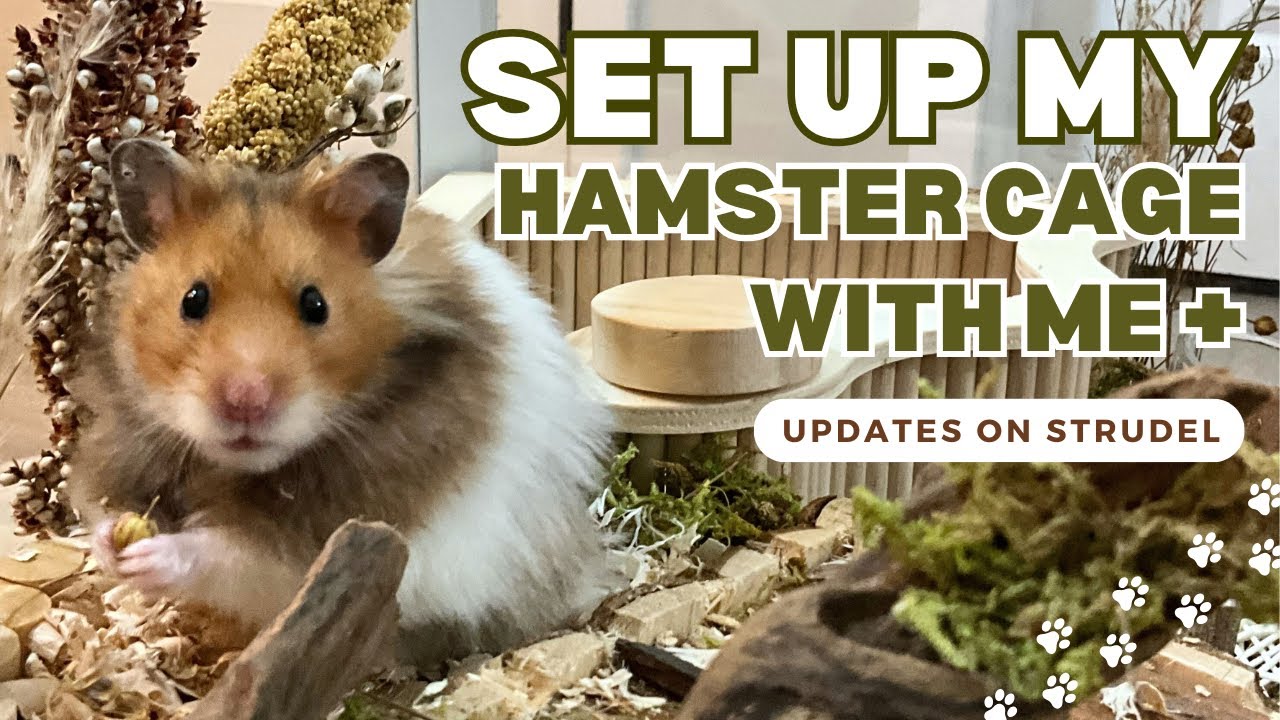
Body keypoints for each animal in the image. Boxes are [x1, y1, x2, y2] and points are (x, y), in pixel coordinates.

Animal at [69, 139, 618, 667]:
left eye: (316, 304)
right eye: (193, 299)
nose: (246, 401)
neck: (237, 469)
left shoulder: (331, 533)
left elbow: (228, 553)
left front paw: (151, 557)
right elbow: (95, 507)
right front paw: (111, 545)